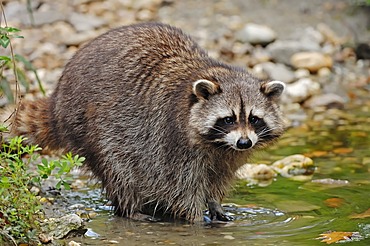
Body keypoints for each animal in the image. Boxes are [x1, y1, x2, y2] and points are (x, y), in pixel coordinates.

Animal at [11, 22, 284, 223]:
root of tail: (58, 98)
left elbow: (218, 179)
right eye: (228, 119)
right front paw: (195, 218)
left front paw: (215, 204)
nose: (244, 143)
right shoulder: (172, 139)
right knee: (119, 169)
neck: (218, 144)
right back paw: (131, 209)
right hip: (92, 127)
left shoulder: (228, 155)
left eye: (254, 119)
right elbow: (180, 186)